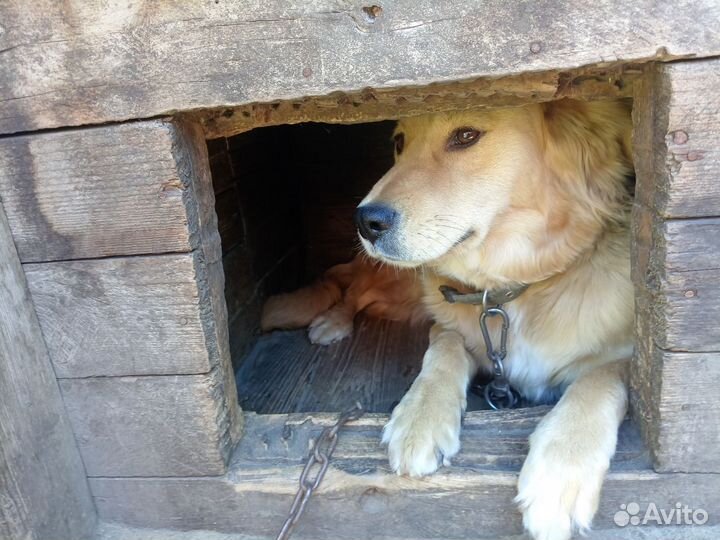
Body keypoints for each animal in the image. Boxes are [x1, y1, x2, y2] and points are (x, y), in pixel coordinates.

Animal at [266, 98, 636, 540]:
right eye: (399, 142)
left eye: (466, 135)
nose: (365, 222)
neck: (506, 290)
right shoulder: (445, 327)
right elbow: (444, 348)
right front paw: (420, 417)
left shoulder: (624, 350)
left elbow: (601, 377)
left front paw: (562, 465)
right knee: (356, 289)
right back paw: (333, 321)